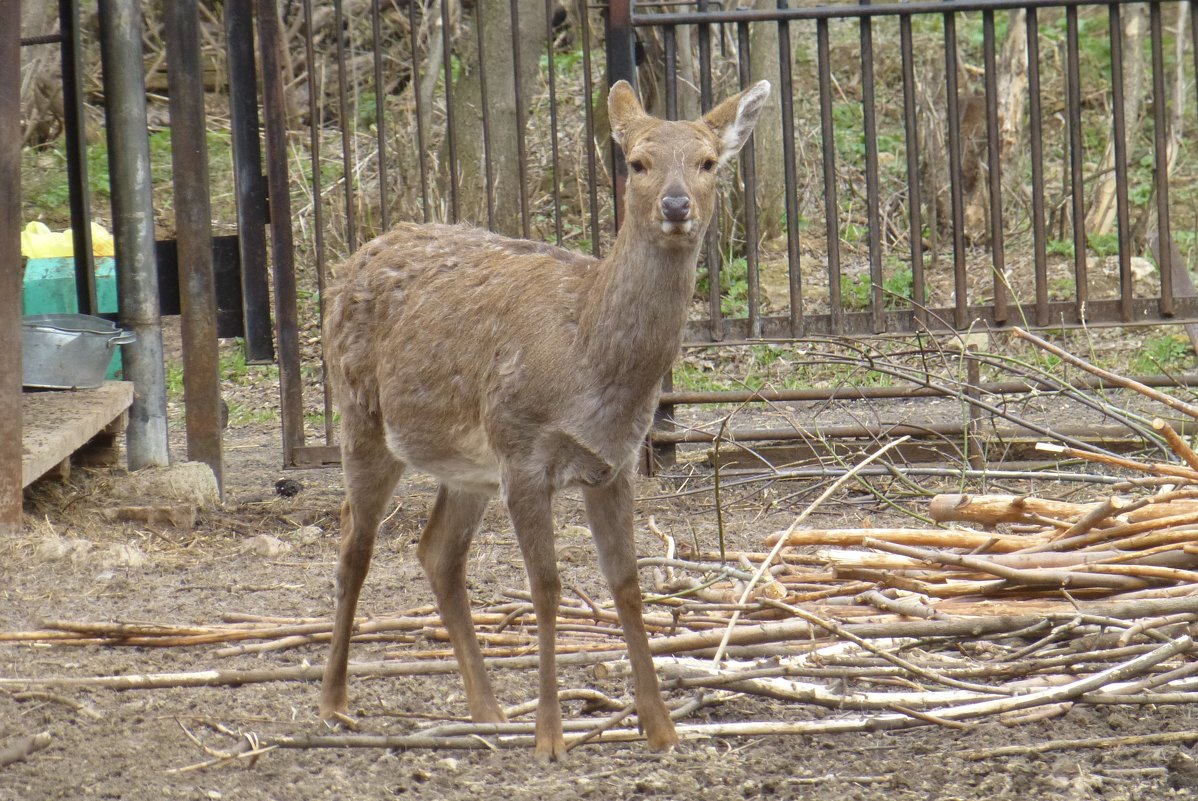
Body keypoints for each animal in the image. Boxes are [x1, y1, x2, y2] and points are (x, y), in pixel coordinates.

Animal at [318, 77, 766, 761]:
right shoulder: (524, 451)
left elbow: (627, 583)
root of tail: (348, 263)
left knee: (437, 552)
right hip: (363, 415)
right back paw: (335, 701)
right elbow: (548, 588)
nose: (676, 205)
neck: (588, 366)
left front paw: (662, 728)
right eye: (637, 162)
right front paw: (551, 738)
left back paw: (487, 709)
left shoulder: (614, 461)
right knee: (353, 543)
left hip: (467, 467)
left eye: (709, 161)